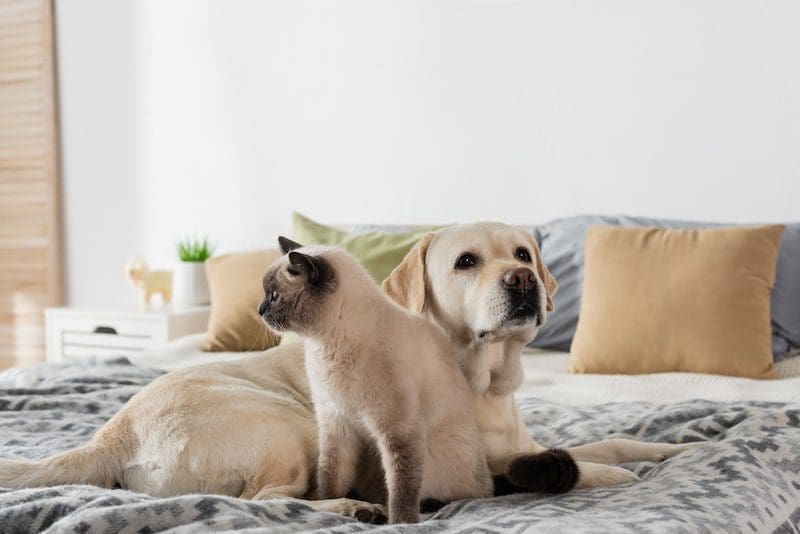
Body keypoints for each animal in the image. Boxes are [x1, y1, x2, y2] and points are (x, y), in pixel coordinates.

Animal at [0, 222, 692, 524]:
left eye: (523, 253)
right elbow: (572, 467)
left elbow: (610, 441)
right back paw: (351, 507)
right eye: (466, 262)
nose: (523, 279)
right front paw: (613, 475)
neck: (483, 381)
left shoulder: (518, 442)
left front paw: (670, 449)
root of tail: (109, 435)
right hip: (294, 429)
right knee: (267, 501)